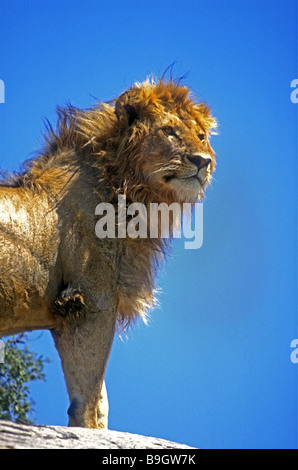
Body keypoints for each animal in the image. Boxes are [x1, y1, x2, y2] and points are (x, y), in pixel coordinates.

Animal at [1, 78, 218, 430]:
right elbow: (89, 397)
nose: (202, 160)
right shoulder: (88, 302)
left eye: (201, 136)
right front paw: (87, 432)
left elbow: (101, 399)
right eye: (169, 132)